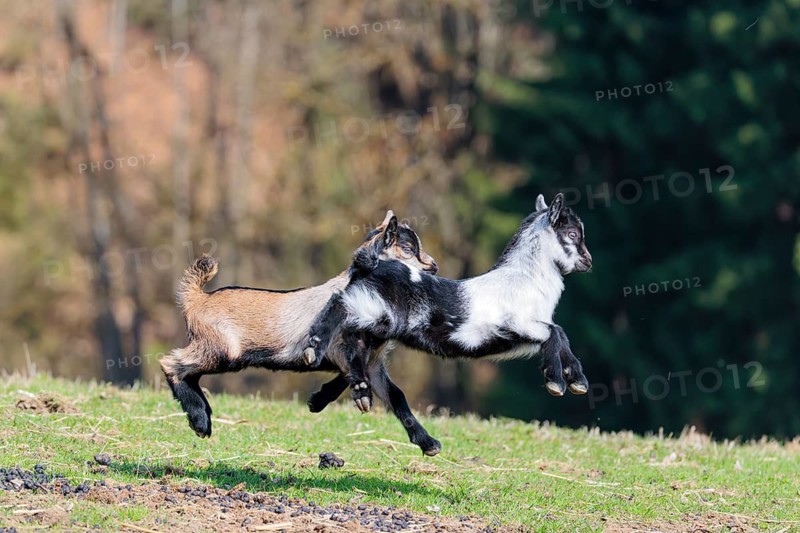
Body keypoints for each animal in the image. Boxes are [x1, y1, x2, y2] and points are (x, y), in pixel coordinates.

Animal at [160, 211, 441, 453]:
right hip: (223, 350)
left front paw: (429, 443)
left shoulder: (373, 361)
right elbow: (353, 370)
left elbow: (395, 395)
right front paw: (355, 396)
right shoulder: (343, 346)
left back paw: (203, 419)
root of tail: (198, 298)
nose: (434, 267)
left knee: (189, 372)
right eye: (408, 249)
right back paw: (199, 419)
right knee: (171, 364)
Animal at [306, 194, 592, 453]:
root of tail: (371, 264)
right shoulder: (519, 325)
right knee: (338, 302)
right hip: (372, 309)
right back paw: (313, 350)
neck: (525, 280)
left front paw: (577, 381)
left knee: (358, 352)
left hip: (374, 324)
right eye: (572, 234)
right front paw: (556, 382)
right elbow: (555, 332)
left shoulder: (526, 335)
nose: (588, 261)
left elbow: (560, 334)